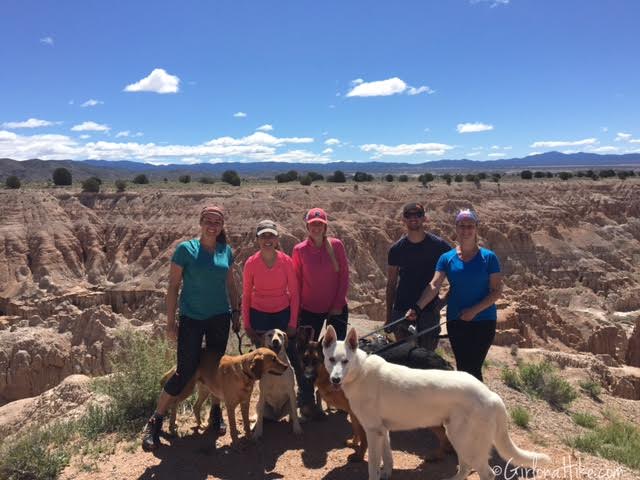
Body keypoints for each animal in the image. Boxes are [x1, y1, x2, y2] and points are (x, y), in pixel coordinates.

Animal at [160, 346, 288, 444]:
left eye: (276, 357)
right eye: (273, 359)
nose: (286, 366)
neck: (244, 372)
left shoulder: (245, 403)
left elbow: (246, 424)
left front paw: (250, 439)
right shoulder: (230, 406)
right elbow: (233, 427)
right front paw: (236, 444)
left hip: (205, 390)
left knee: (195, 406)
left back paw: (201, 425)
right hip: (188, 388)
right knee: (174, 402)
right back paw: (171, 427)